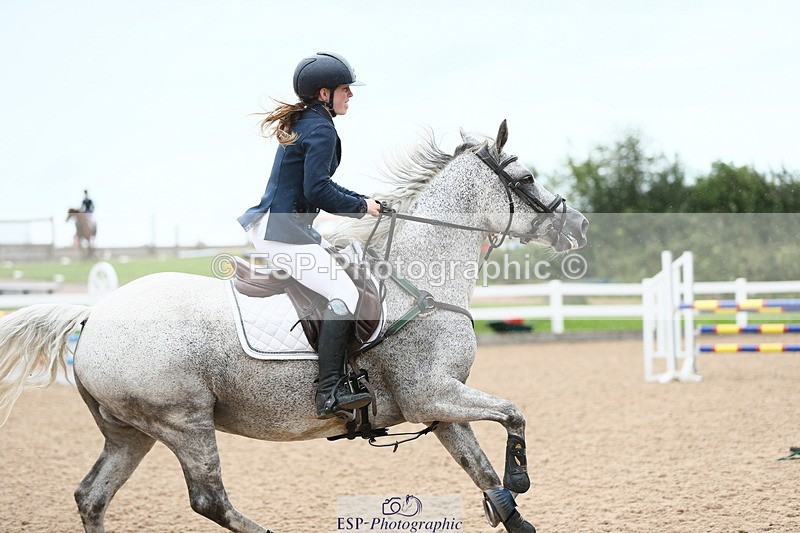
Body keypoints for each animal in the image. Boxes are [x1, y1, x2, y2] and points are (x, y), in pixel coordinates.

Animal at [0, 121, 588, 533]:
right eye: (527, 177)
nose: (579, 224)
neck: (419, 279)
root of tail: (94, 314)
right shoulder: (432, 392)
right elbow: (513, 415)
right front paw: (521, 478)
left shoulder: (439, 406)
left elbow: (483, 472)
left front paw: (514, 512)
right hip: (183, 420)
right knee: (209, 498)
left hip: (130, 433)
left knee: (92, 496)